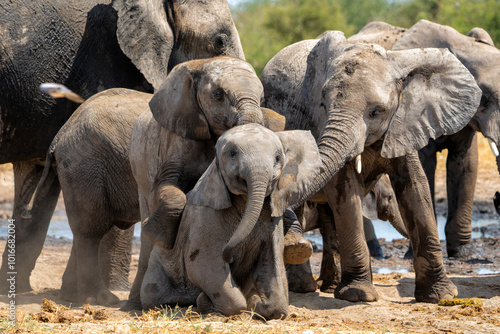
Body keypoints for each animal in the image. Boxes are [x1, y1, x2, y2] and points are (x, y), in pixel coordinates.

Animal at [141, 123, 322, 318]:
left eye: (277, 158)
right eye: (232, 153)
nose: (229, 255)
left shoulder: (274, 218)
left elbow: (272, 264)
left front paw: (257, 303)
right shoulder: (205, 213)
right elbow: (203, 265)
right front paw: (209, 303)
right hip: (159, 269)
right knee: (152, 293)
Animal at [260, 30, 482, 302]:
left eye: (377, 112)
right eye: (323, 105)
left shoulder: (403, 121)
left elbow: (416, 187)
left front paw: (441, 296)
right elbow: (345, 191)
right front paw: (358, 295)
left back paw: (329, 287)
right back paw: (304, 286)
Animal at [350, 18, 500, 258]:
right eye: (484, 97)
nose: (496, 197)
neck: (464, 45)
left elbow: (466, 164)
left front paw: (464, 253)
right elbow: (423, 165)